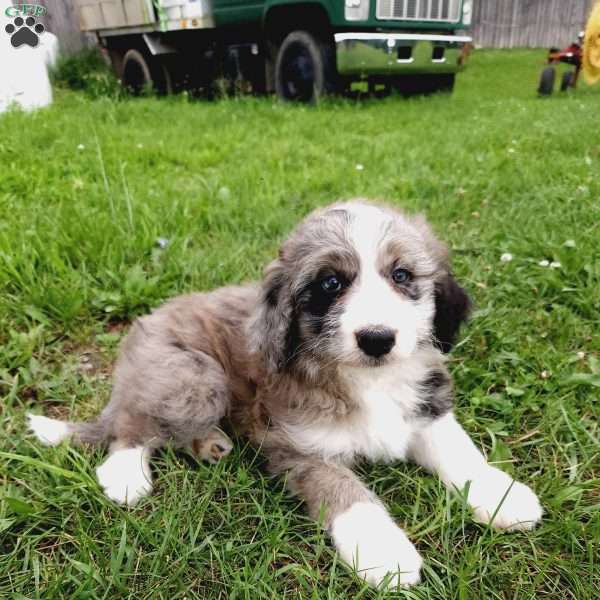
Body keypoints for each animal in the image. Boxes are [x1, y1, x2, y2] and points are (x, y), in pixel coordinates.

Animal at [29, 204, 544, 588]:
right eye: (330, 283)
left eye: (401, 275)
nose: (377, 339)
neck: (364, 379)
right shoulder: (300, 447)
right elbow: (346, 491)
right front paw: (383, 550)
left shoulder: (425, 406)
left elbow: (460, 450)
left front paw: (501, 495)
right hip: (191, 378)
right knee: (132, 425)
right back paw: (125, 476)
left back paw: (210, 444)